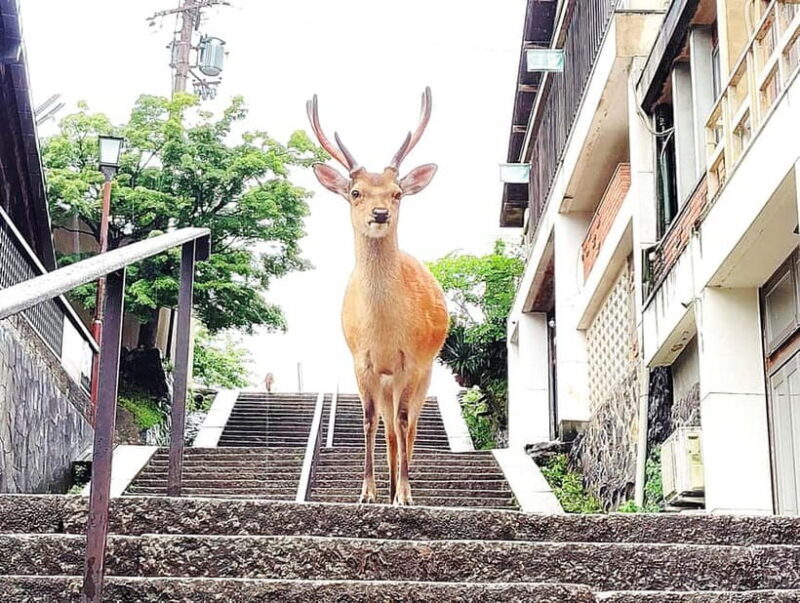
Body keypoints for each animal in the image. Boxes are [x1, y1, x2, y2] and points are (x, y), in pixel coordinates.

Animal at [307, 88, 449, 506]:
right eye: (355, 192)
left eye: (398, 192)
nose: (381, 212)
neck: (384, 330)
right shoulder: (362, 361)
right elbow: (369, 421)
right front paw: (367, 492)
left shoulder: (412, 361)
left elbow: (403, 423)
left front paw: (404, 494)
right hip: (387, 381)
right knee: (388, 430)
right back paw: (387, 487)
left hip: (423, 374)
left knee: (409, 427)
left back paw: (402, 486)